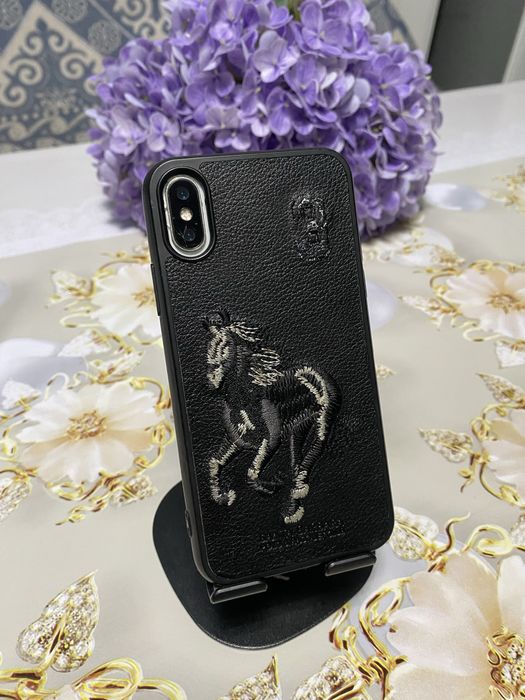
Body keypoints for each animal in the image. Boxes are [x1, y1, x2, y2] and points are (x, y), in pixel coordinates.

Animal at [205, 310, 339, 524]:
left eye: (224, 346)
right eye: (209, 346)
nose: (211, 382)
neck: (244, 400)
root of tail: (319, 373)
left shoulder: (271, 441)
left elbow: (252, 472)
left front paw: (271, 486)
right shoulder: (236, 439)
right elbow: (215, 462)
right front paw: (224, 497)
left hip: (321, 426)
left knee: (306, 462)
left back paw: (293, 506)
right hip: (297, 430)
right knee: (296, 464)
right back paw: (292, 511)